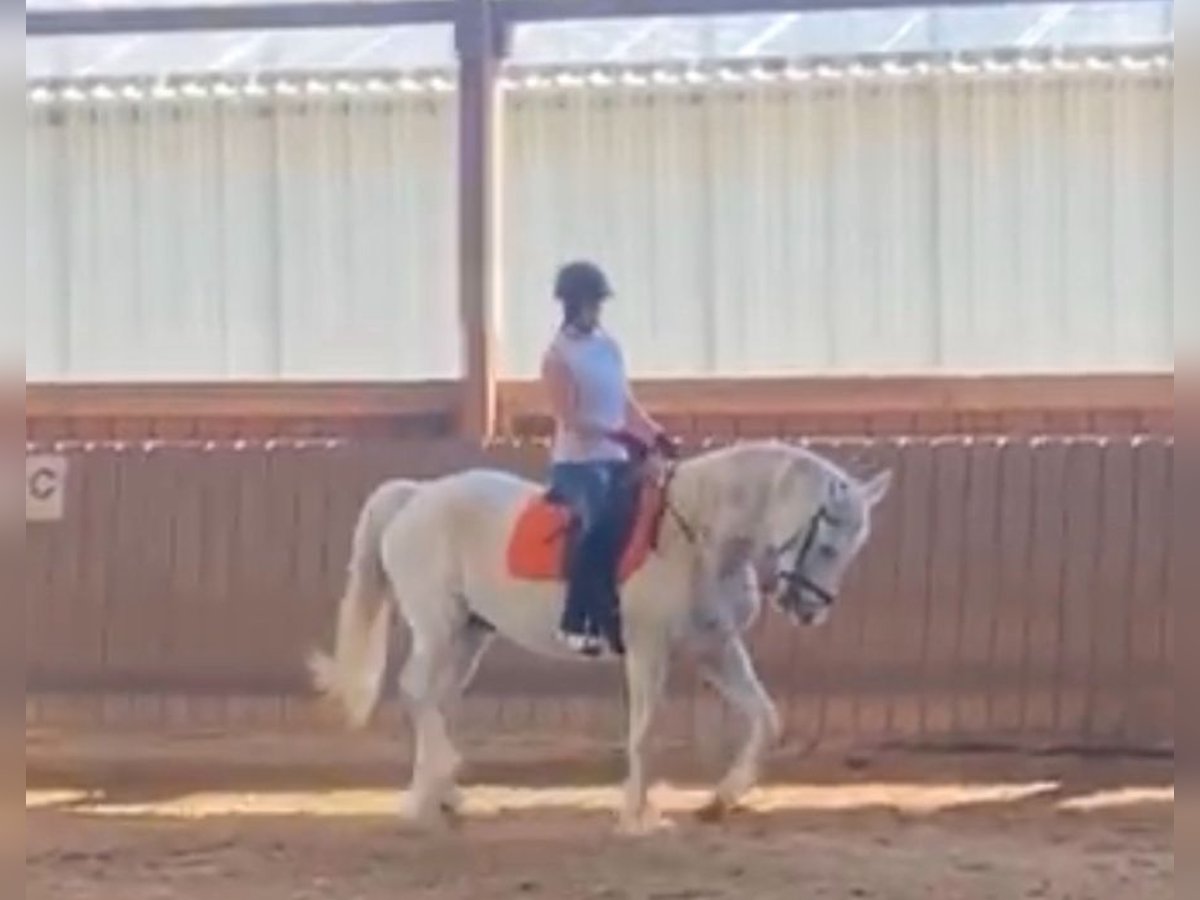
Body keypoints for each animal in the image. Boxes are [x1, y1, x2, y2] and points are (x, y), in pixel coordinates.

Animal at [309, 441, 892, 835]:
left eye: (853, 546)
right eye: (828, 541)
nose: (809, 609)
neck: (697, 538)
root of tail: (417, 496)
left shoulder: (716, 649)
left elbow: (767, 718)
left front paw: (720, 801)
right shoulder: (649, 648)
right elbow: (645, 730)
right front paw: (638, 816)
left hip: (471, 632)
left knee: (438, 698)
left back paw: (441, 793)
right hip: (439, 624)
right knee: (416, 691)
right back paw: (431, 791)